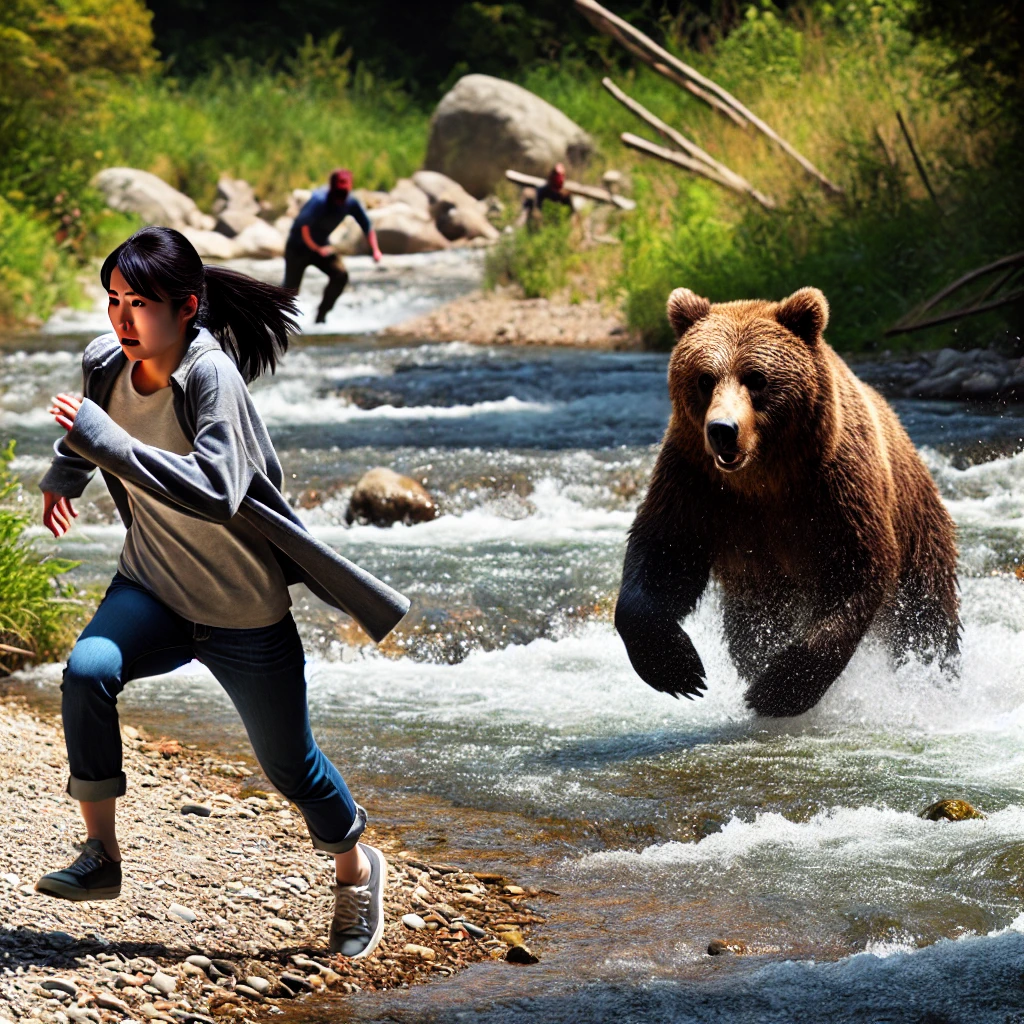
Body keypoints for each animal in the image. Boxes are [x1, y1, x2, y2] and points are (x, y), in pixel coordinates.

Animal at [614, 284, 958, 716]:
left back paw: (934, 673)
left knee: (925, 615)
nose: (723, 430)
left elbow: (857, 568)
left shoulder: (835, 487)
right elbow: (664, 553)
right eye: (704, 378)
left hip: (918, 524)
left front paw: (777, 689)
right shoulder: (697, 482)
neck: (763, 477)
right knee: (750, 629)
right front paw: (679, 670)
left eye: (756, 378)